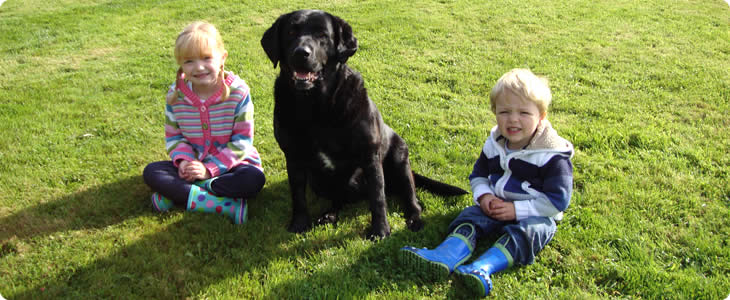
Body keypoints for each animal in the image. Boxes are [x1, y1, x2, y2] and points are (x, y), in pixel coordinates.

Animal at [262, 9, 466, 239]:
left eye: (322, 35)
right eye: (290, 32)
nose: (300, 53)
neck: (317, 106)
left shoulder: (370, 156)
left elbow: (378, 198)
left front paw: (380, 230)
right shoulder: (293, 156)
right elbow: (298, 196)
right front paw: (299, 224)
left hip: (400, 161)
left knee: (411, 198)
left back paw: (414, 219)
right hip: (319, 181)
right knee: (339, 198)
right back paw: (329, 215)